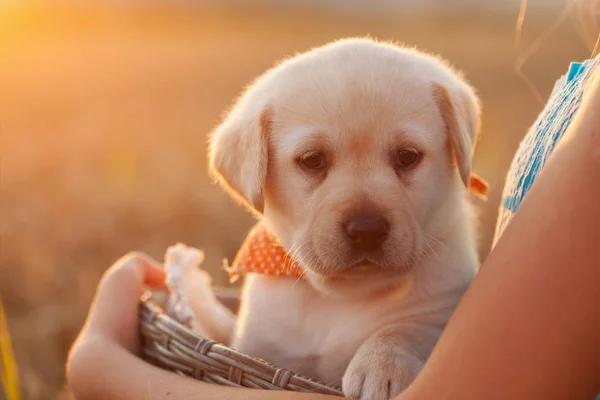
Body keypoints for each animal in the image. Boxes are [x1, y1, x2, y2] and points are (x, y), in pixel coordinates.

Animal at [206, 38, 482, 400]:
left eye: (407, 156)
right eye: (312, 160)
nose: (367, 230)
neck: (341, 295)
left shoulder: (444, 307)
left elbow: (406, 328)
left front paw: (382, 364)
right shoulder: (259, 342)